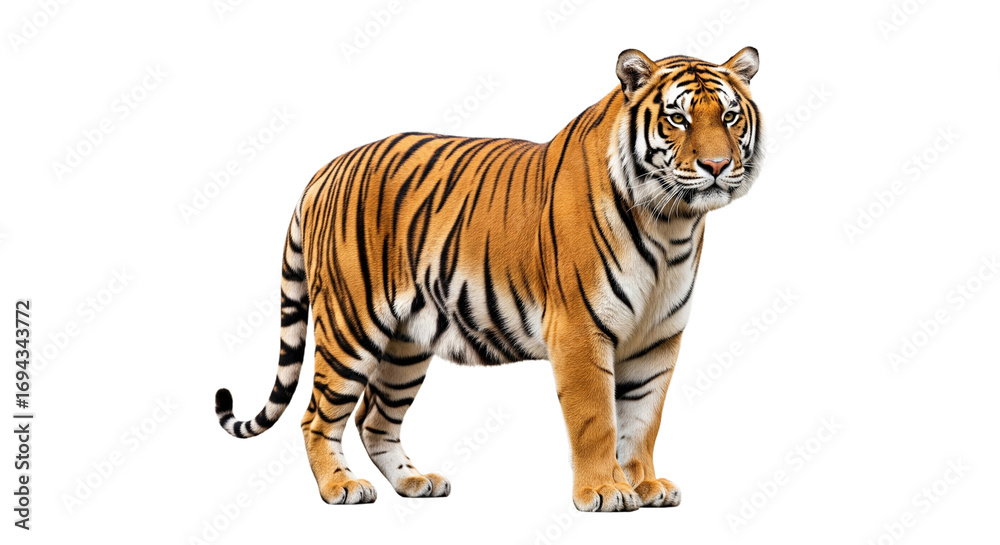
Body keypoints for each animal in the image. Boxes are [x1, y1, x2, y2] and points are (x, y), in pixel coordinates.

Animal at [215, 46, 763, 512]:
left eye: (729, 116)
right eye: (678, 118)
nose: (717, 166)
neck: (671, 225)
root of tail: (324, 170)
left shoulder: (657, 338)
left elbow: (643, 419)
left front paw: (646, 485)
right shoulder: (581, 331)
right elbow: (596, 420)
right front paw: (604, 492)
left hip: (405, 346)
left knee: (374, 419)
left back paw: (416, 482)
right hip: (350, 327)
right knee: (318, 416)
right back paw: (341, 486)